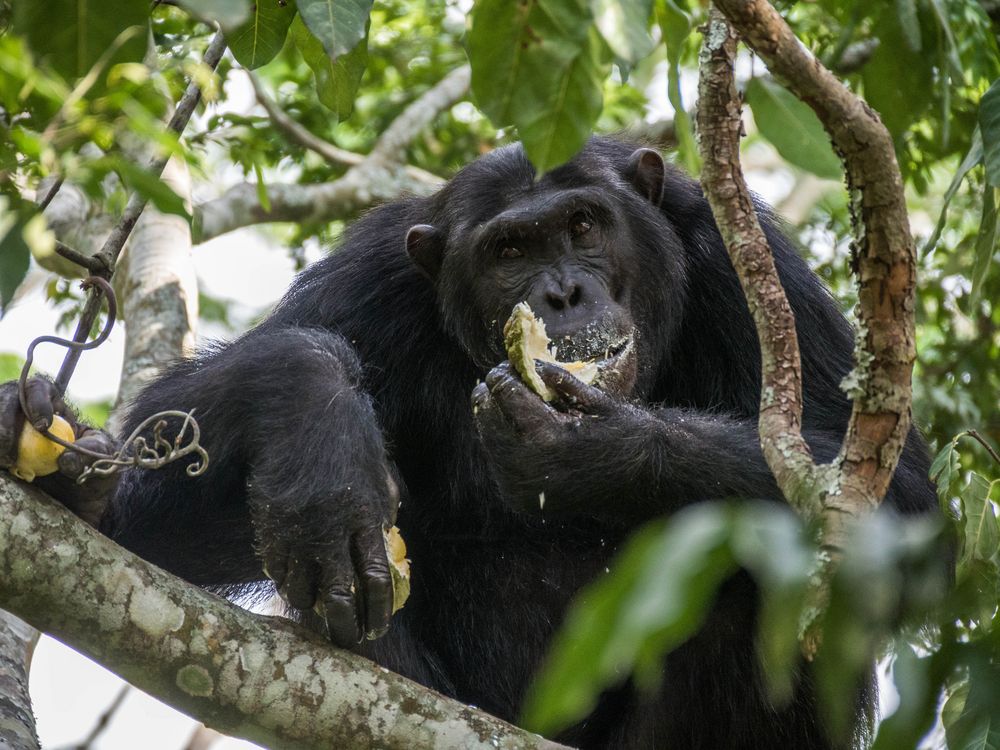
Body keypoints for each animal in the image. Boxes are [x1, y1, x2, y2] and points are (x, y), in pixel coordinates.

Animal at [0, 138, 936, 748]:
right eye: (510, 249)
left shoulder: (742, 254)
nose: (561, 293)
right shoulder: (374, 277)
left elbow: (889, 502)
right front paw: (317, 435)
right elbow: (169, 486)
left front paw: (585, 449)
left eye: (585, 225)